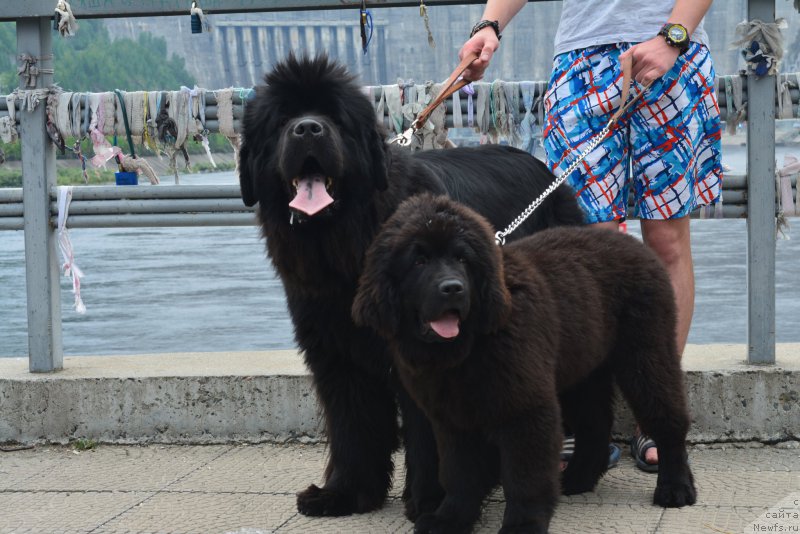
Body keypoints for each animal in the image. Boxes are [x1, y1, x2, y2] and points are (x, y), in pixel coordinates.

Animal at [354, 196, 696, 534]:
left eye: (462, 259)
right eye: (419, 261)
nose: (453, 288)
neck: (469, 347)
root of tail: (635, 245)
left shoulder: (525, 408)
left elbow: (524, 477)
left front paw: (523, 525)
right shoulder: (452, 417)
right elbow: (458, 473)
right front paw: (450, 519)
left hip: (646, 355)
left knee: (667, 420)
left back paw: (675, 487)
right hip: (581, 371)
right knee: (595, 426)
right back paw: (576, 480)